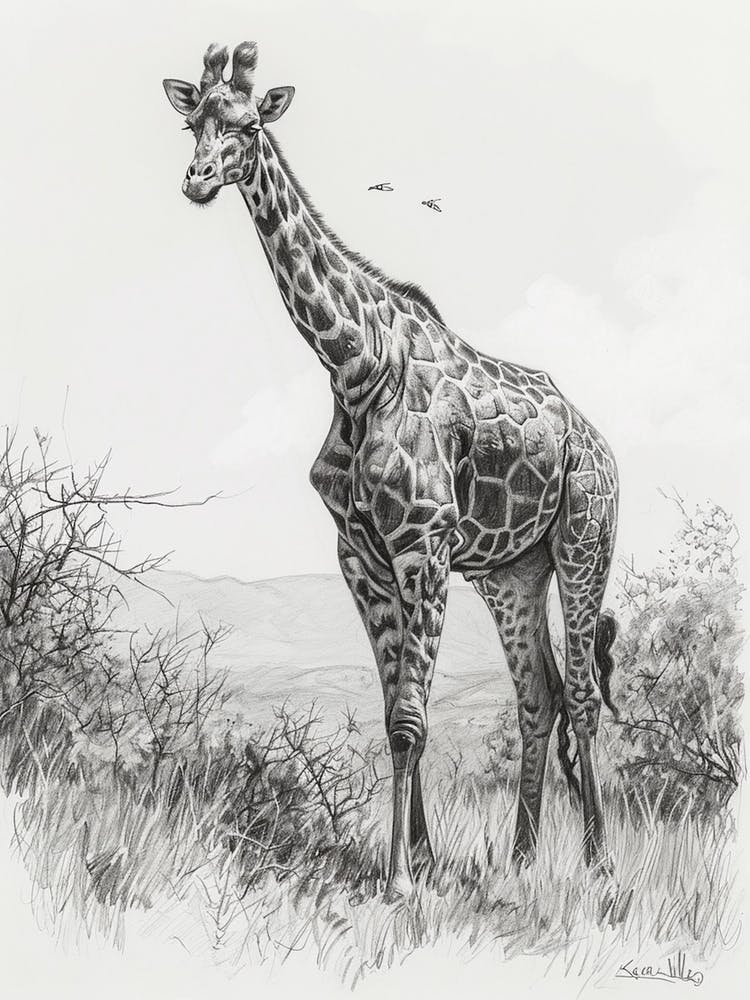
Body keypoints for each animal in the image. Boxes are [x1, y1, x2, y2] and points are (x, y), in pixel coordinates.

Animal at [164, 41, 619, 900]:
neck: (354, 367)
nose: (197, 180)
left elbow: (411, 718)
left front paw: (402, 877)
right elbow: (392, 715)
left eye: (246, 125)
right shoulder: (363, 556)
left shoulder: (423, 546)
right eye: (191, 120)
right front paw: (425, 862)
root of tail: (599, 443)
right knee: (537, 696)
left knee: (580, 692)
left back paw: (600, 862)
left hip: (584, 545)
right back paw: (519, 860)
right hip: (512, 572)